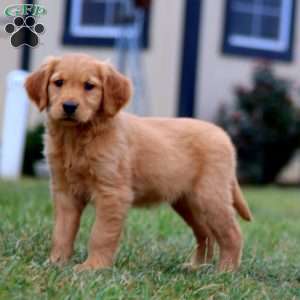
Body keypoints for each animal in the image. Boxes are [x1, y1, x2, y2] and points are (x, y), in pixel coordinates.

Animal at [24, 54, 252, 272]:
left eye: (89, 86)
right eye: (58, 83)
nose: (69, 106)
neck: (76, 138)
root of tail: (223, 134)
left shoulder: (113, 193)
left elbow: (100, 234)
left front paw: (93, 267)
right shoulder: (65, 192)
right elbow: (62, 232)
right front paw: (55, 263)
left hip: (211, 196)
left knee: (233, 233)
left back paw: (226, 270)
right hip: (187, 202)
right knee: (205, 233)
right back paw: (197, 266)